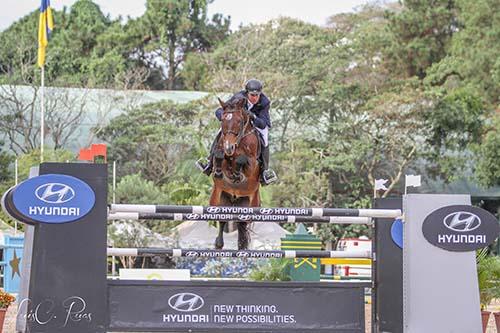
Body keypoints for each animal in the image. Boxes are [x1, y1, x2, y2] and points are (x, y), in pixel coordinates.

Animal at [209, 94, 262, 248]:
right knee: (222, 221)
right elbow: (219, 156)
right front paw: (220, 171)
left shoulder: (253, 165)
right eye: (222, 120)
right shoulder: (221, 154)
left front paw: (237, 175)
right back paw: (219, 244)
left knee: (242, 226)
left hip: (249, 205)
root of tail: (234, 198)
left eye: (239, 121)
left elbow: (242, 160)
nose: (229, 147)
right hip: (219, 200)